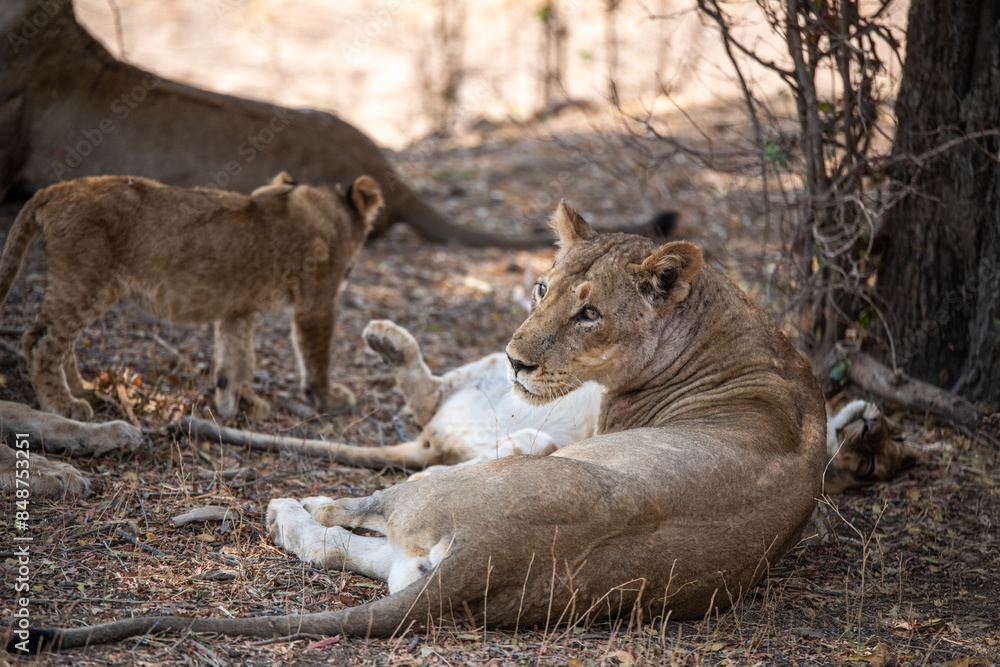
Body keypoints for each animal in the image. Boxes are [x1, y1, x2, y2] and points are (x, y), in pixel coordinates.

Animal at [0, 173, 384, 421]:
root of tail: (57, 188)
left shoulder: (237, 309)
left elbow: (239, 357)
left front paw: (241, 403)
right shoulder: (316, 299)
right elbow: (315, 357)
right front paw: (328, 399)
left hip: (84, 286)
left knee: (62, 342)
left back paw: (83, 388)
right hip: (86, 281)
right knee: (39, 341)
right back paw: (63, 404)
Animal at [16, 201, 830, 651]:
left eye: (591, 312)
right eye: (541, 287)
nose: (518, 359)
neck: (728, 325)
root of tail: (490, 556)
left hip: (435, 490)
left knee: (352, 510)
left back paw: (288, 505)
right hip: (417, 563)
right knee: (348, 548)